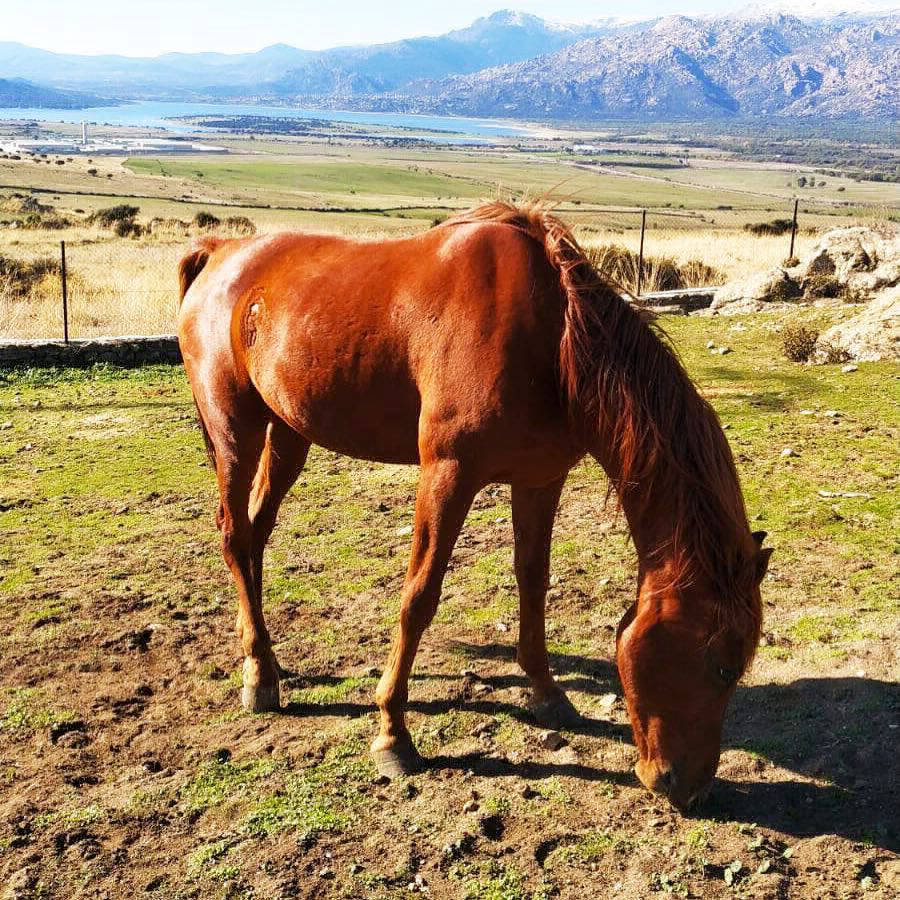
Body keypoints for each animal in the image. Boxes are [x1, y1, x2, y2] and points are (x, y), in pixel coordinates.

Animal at [176, 201, 771, 811]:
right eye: (722, 666)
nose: (689, 788)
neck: (553, 336)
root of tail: (219, 253)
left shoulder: (540, 478)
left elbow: (533, 581)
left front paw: (547, 693)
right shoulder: (449, 473)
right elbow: (419, 597)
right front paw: (392, 733)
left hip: (289, 432)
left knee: (256, 533)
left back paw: (266, 659)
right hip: (235, 431)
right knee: (235, 536)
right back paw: (258, 677)